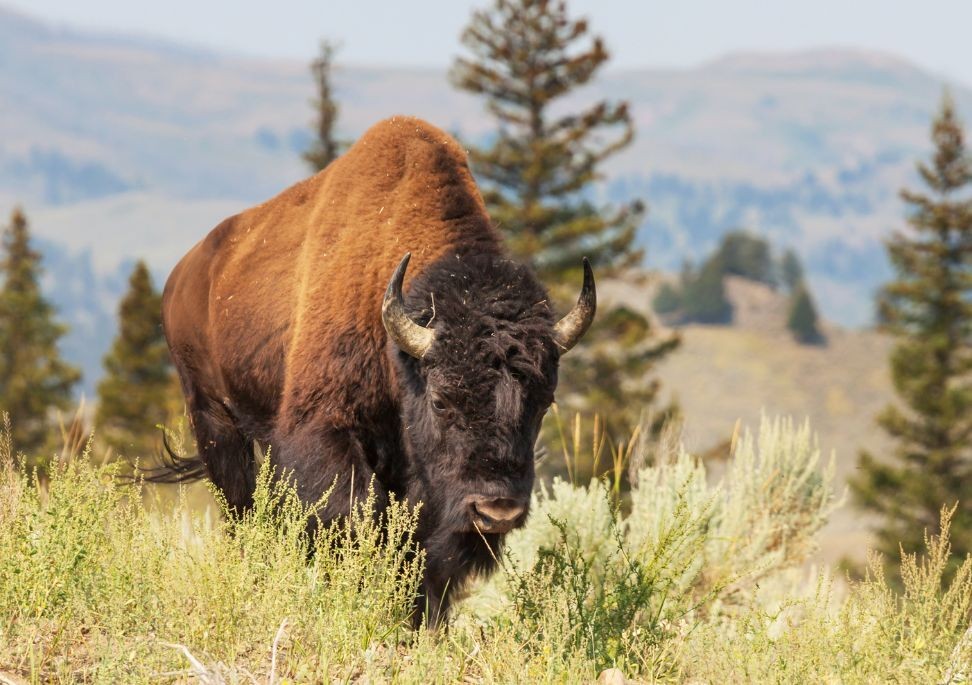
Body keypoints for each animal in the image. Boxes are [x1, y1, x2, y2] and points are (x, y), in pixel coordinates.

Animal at [160, 116, 595, 625]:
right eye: (441, 400)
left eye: (542, 404)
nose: (497, 511)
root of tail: (184, 275)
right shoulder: (326, 431)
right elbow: (356, 517)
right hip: (215, 420)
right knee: (242, 510)